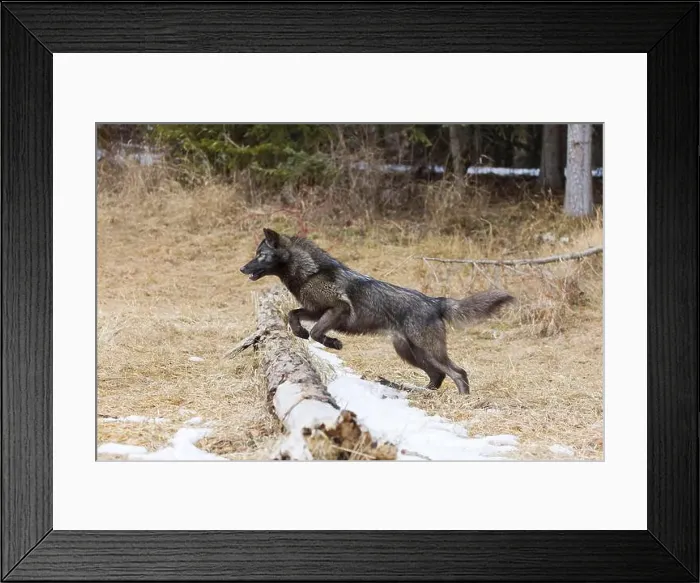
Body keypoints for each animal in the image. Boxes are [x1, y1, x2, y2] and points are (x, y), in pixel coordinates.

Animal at [241, 228, 513, 394]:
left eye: (261, 255)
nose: (242, 269)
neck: (310, 272)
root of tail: (435, 301)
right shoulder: (316, 310)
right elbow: (292, 315)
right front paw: (300, 333)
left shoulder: (337, 310)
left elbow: (317, 333)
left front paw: (334, 343)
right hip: (409, 352)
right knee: (438, 377)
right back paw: (418, 392)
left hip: (426, 352)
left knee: (458, 373)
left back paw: (462, 399)